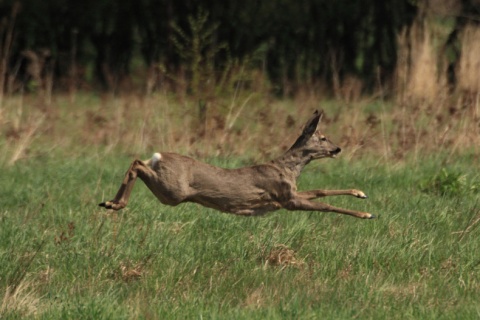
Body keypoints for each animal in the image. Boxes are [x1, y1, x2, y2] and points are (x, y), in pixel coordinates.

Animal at [98, 111, 376, 219]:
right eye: (323, 137)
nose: (338, 149)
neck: (288, 170)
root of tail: (159, 157)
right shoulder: (286, 199)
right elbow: (325, 204)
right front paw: (366, 214)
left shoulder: (289, 193)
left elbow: (321, 190)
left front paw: (361, 193)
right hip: (173, 191)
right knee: (137, 163)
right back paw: (115, 203)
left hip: (167, 187)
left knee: (138, 162)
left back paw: (110, 202)